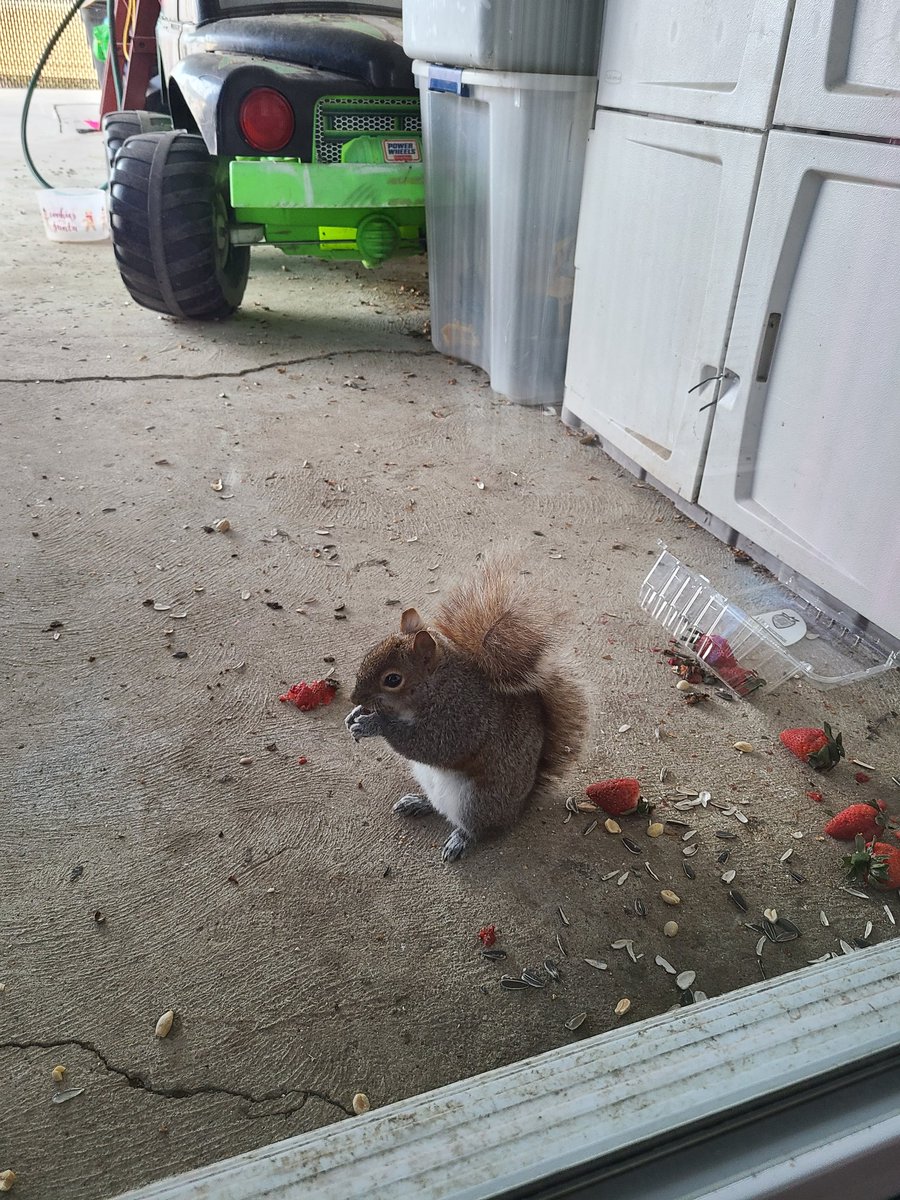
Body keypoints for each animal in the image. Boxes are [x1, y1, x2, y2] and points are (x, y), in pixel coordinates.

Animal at [345, 559, 587, 861]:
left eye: (392, 679)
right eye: (370, 652)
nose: (353, 697)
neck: (440, 685)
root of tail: (518, 809)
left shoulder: (465, 718)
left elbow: (432, 745)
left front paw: (373, 724)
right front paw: (356, 714)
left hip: (477, 802)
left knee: (477, 829)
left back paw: (459, 839)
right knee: (438, 807)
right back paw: (418, 802)